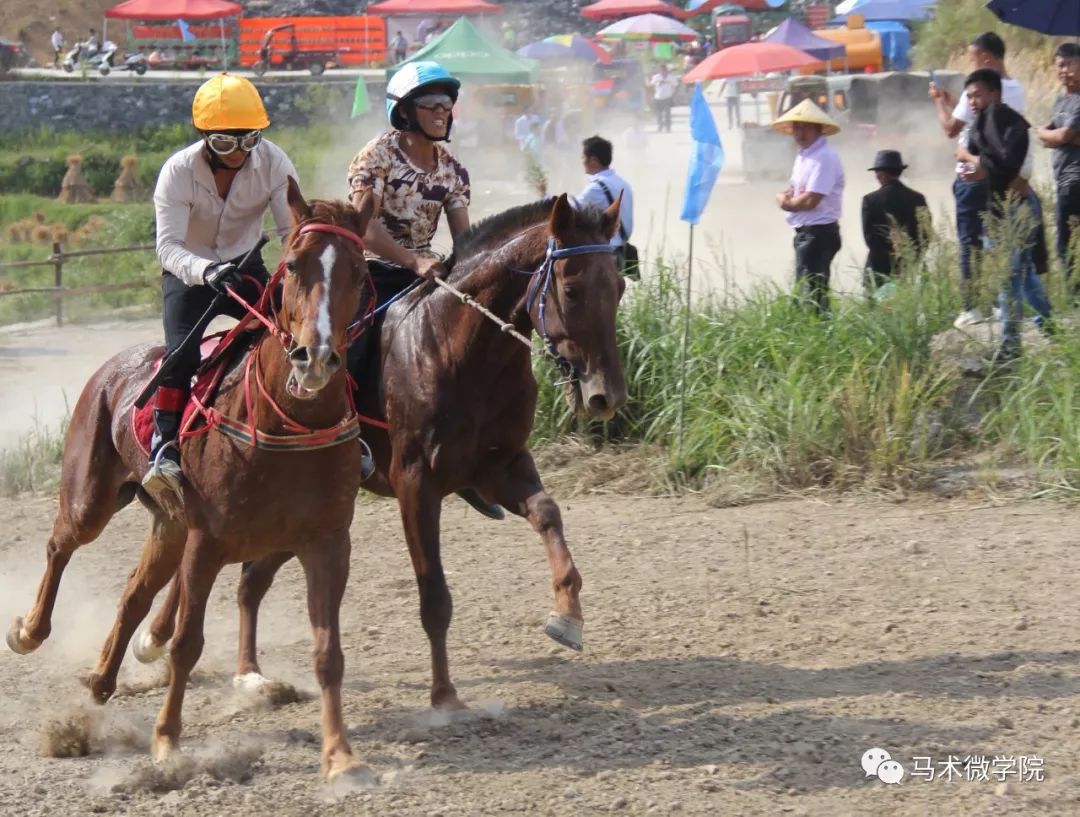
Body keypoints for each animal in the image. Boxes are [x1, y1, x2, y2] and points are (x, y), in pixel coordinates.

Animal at [7, 181, 380, 782]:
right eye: (294, 265)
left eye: (359, 272)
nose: (316, 358)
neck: (283, 423)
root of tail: (114, 366)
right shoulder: (207, 544)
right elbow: (187, 643)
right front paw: (166, 742)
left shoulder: (327, 543)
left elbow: (328, 650)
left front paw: (341, 757)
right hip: (92, 500)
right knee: (60, 544)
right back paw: (30, 632)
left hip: (169, 526)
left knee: (133, 595)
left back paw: (101, 682)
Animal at [139, 191, 630, 708]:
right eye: (571, 290)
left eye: (619, 286)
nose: (607, 395)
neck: (458, 348)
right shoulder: (416, 483)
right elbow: (434, 597)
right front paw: (444, 697)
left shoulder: (503, 467)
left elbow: (549, 514)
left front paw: (568, 615)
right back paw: (155, 638)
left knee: (250, 581)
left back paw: (248, 674)